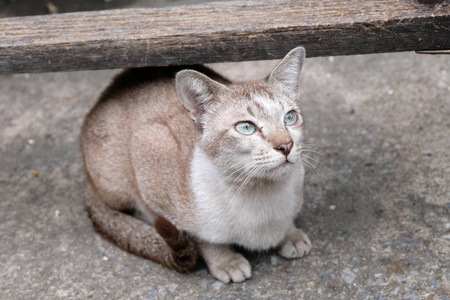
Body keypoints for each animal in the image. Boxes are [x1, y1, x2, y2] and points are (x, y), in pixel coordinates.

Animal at [81, 45, 312, 282]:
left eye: (290, 117)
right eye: (246, 127)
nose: (286, 145)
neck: (260, 190)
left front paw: (291, 235)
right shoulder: (149, 151)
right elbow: (202, 237)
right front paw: (226, 261)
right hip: (118, 182)